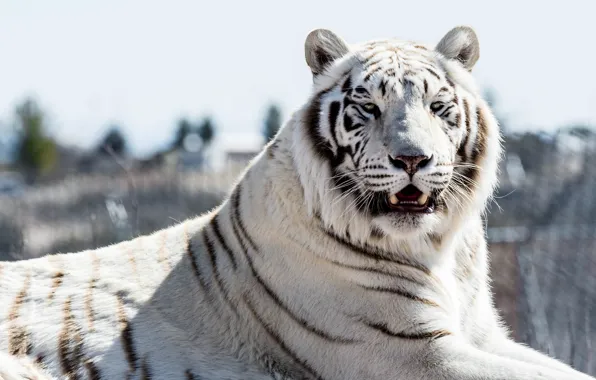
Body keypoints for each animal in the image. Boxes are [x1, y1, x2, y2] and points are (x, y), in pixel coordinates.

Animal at [1, 26, 596, 380]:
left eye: (437, 106)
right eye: (369, 107)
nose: (412, 158)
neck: (440, 249)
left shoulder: (483, 334)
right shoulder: (415, 351)